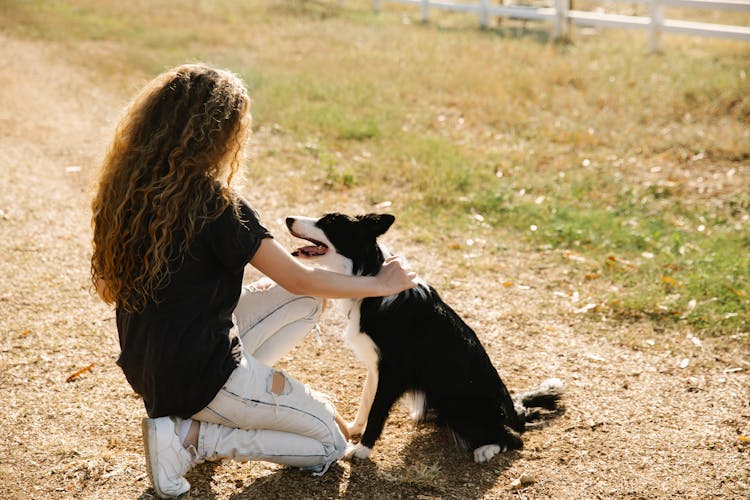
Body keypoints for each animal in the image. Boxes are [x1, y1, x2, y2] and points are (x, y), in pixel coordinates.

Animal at [288, 213, 564, 462]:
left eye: (329, 222)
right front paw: (354, 429)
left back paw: (485, 450)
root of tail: (511, 411)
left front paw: (362, 449)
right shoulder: (376, 366)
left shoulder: (393, 372)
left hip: (460, 406)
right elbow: (366, 400)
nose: (288, 219)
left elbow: (377, 411)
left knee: (512, 439)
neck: (370, 276)